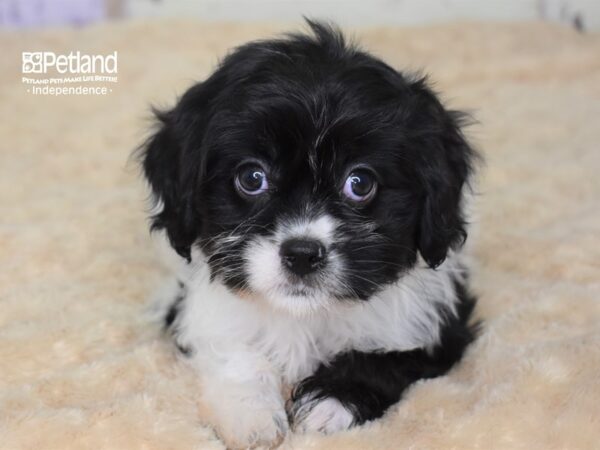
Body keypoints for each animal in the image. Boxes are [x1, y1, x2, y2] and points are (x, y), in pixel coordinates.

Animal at [139, 20, 478, 446]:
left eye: (360, 183)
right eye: (252, 178)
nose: (302, 254)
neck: (303, 315)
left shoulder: (439, 326)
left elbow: (388, 360)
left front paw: (329, 402)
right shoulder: (202, 313)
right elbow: (232, 350)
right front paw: (250, 416)